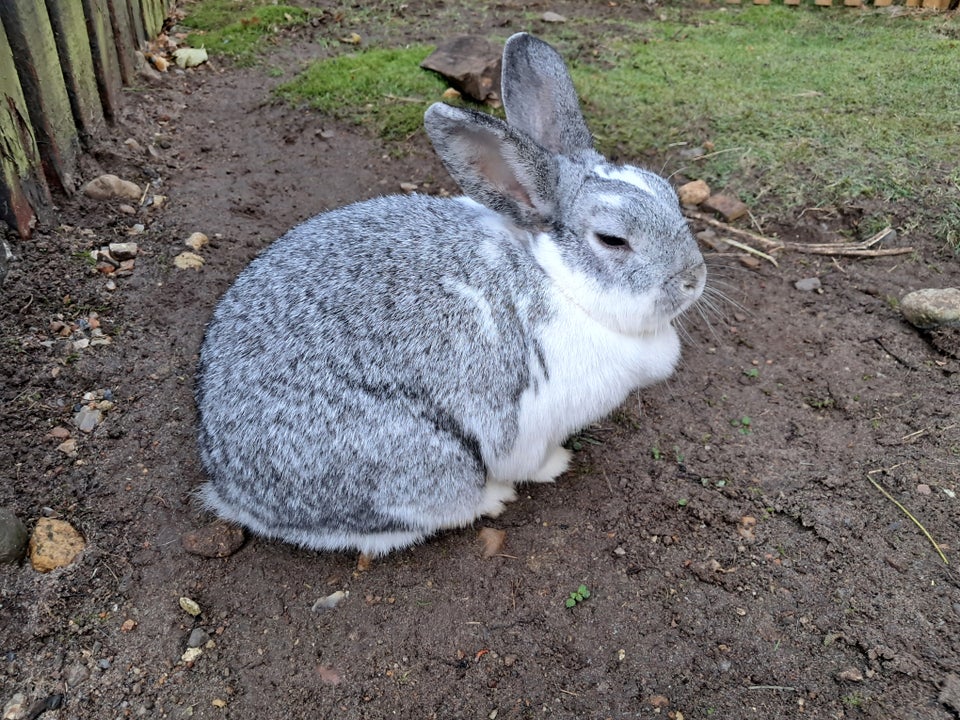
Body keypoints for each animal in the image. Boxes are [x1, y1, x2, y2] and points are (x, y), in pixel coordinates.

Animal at [195, 32, 704, 556]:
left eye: (670, 196)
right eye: (612, 239)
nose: (694, 278)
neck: (555, 276)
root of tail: (235, 493)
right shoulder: (527, 425)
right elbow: (530, 458)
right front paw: (557, 464)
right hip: (424, 464)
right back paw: (494, 498)